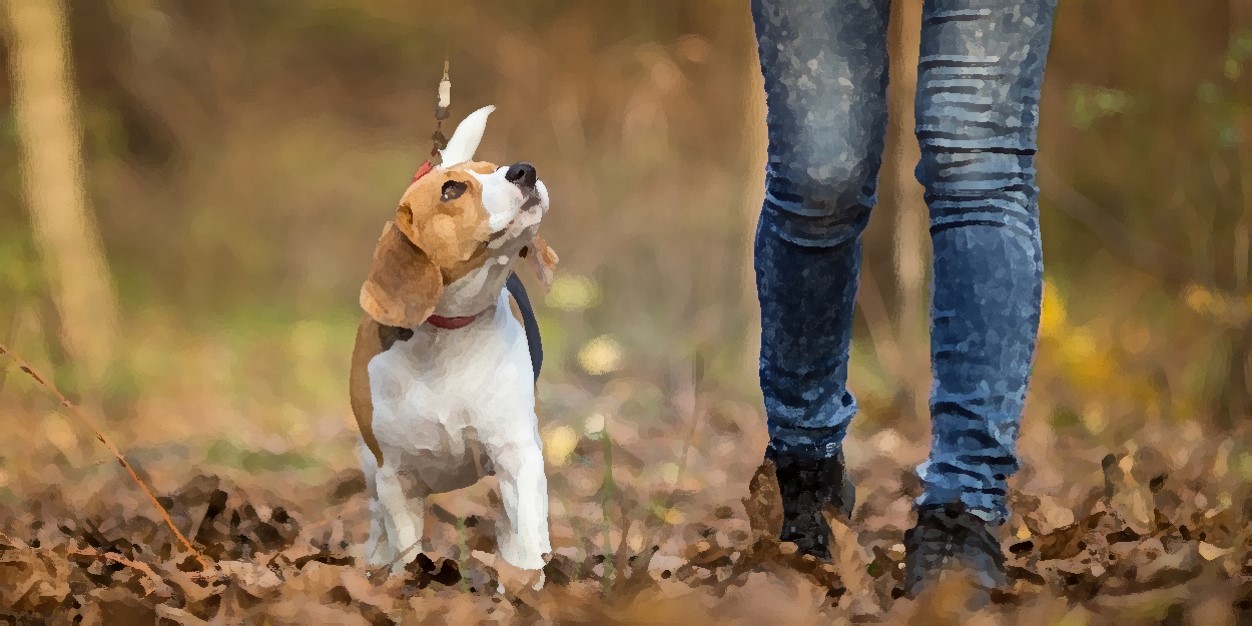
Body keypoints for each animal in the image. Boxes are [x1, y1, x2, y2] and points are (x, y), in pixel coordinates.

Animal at [345, 106, 555, 575]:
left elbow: (527, 537)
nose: (525, 169)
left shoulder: (516, 452)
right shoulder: (395, 476)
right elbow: (406, 548)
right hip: (370, 466)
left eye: (494, 169)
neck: (446, 336)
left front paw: (526, 578)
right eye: (452, 189)